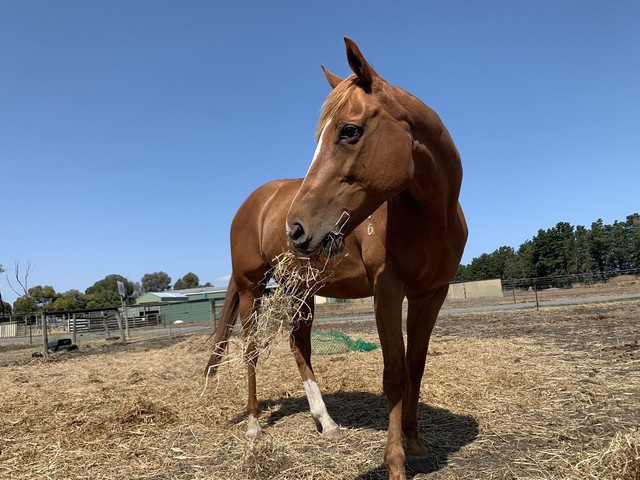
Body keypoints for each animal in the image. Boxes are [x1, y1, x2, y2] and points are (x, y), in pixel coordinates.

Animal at [205, 37, 467, 480]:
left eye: (349, 131)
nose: (296, 230)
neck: (430, 217)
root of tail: (252, 203)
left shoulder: (432, 293)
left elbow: (416, 366)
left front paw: (415, 446)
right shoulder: (387, 290)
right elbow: (394, 373)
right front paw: (395, 461)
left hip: (301, 292)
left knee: (299, 347)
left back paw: (325, 422)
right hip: (251, 287)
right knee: (252, 350)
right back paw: (255, 424)